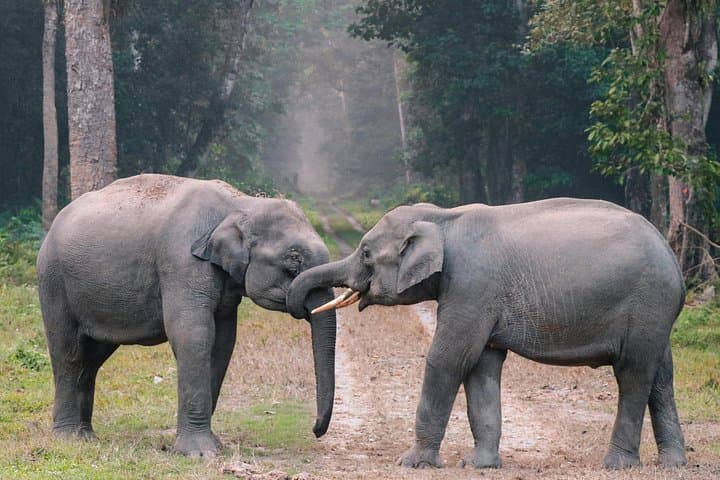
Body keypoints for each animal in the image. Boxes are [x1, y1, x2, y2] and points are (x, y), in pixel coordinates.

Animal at [36, 174, 336, 457]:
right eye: (294, 259)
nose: (316, 430)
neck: (240, 204)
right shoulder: (181, 262)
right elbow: (193, 335)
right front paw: (199, 453)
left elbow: (223, 342)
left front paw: (214, 446)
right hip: (54, 281)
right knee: (69, 354)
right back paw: (68, 438)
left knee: (92, 359)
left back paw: (87, 436)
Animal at [287, 198, 687, 470]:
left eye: (367, 253)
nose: (316, 432)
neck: (444, 218)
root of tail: (673, 258)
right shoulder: (479, 297)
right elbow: (482, 364)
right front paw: (478, 465)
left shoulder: (472, 286)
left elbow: (449, 357)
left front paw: (412, 463)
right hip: (656, 313)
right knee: (661, 376)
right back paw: (673, 464)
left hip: (648, 302)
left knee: (633, 374)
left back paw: (617, 465)